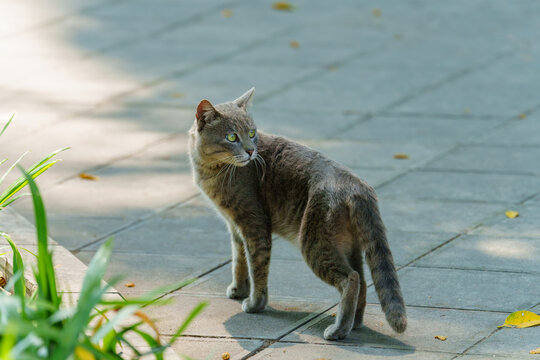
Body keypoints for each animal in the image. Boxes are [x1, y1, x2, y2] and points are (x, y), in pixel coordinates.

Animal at [189, 88, 404, 340]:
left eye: (251, 133)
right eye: (232, 137)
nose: (251, 151)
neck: (212, 170)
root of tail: (358, 186)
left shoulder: (254, 225)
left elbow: (257, 268)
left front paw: (255, 303)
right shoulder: (234, 226)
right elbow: (239, 260)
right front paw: (238, 290)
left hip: (314, 242)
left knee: (351, 279)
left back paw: (339, 330)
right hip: (350, 246)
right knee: (361, 279)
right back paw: (355, 323)